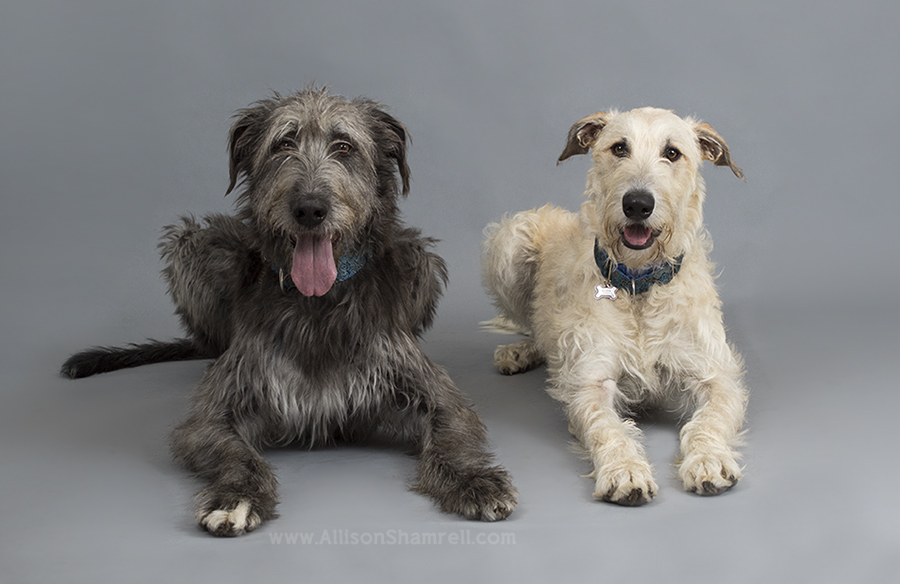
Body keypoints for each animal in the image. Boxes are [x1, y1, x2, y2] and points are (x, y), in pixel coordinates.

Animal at [61, 89, 512, 536]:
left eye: (344, 146)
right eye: (283, 144)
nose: (310, 209)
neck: (317, 305)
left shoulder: (426, 387)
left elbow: (451, 433)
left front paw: (475, 480)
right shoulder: (219, 408)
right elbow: (233, 451)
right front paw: (236, 496)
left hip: (420, 257)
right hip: (194, 243)